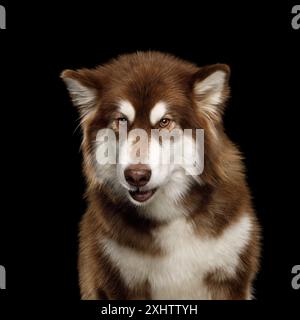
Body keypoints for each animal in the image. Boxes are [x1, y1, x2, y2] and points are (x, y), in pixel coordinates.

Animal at [61, 51, 260, 298]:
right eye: (122, 120)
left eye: (164, 122)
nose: (136, 176)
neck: (168, 218)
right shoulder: (118, 279)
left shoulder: (231, 275)